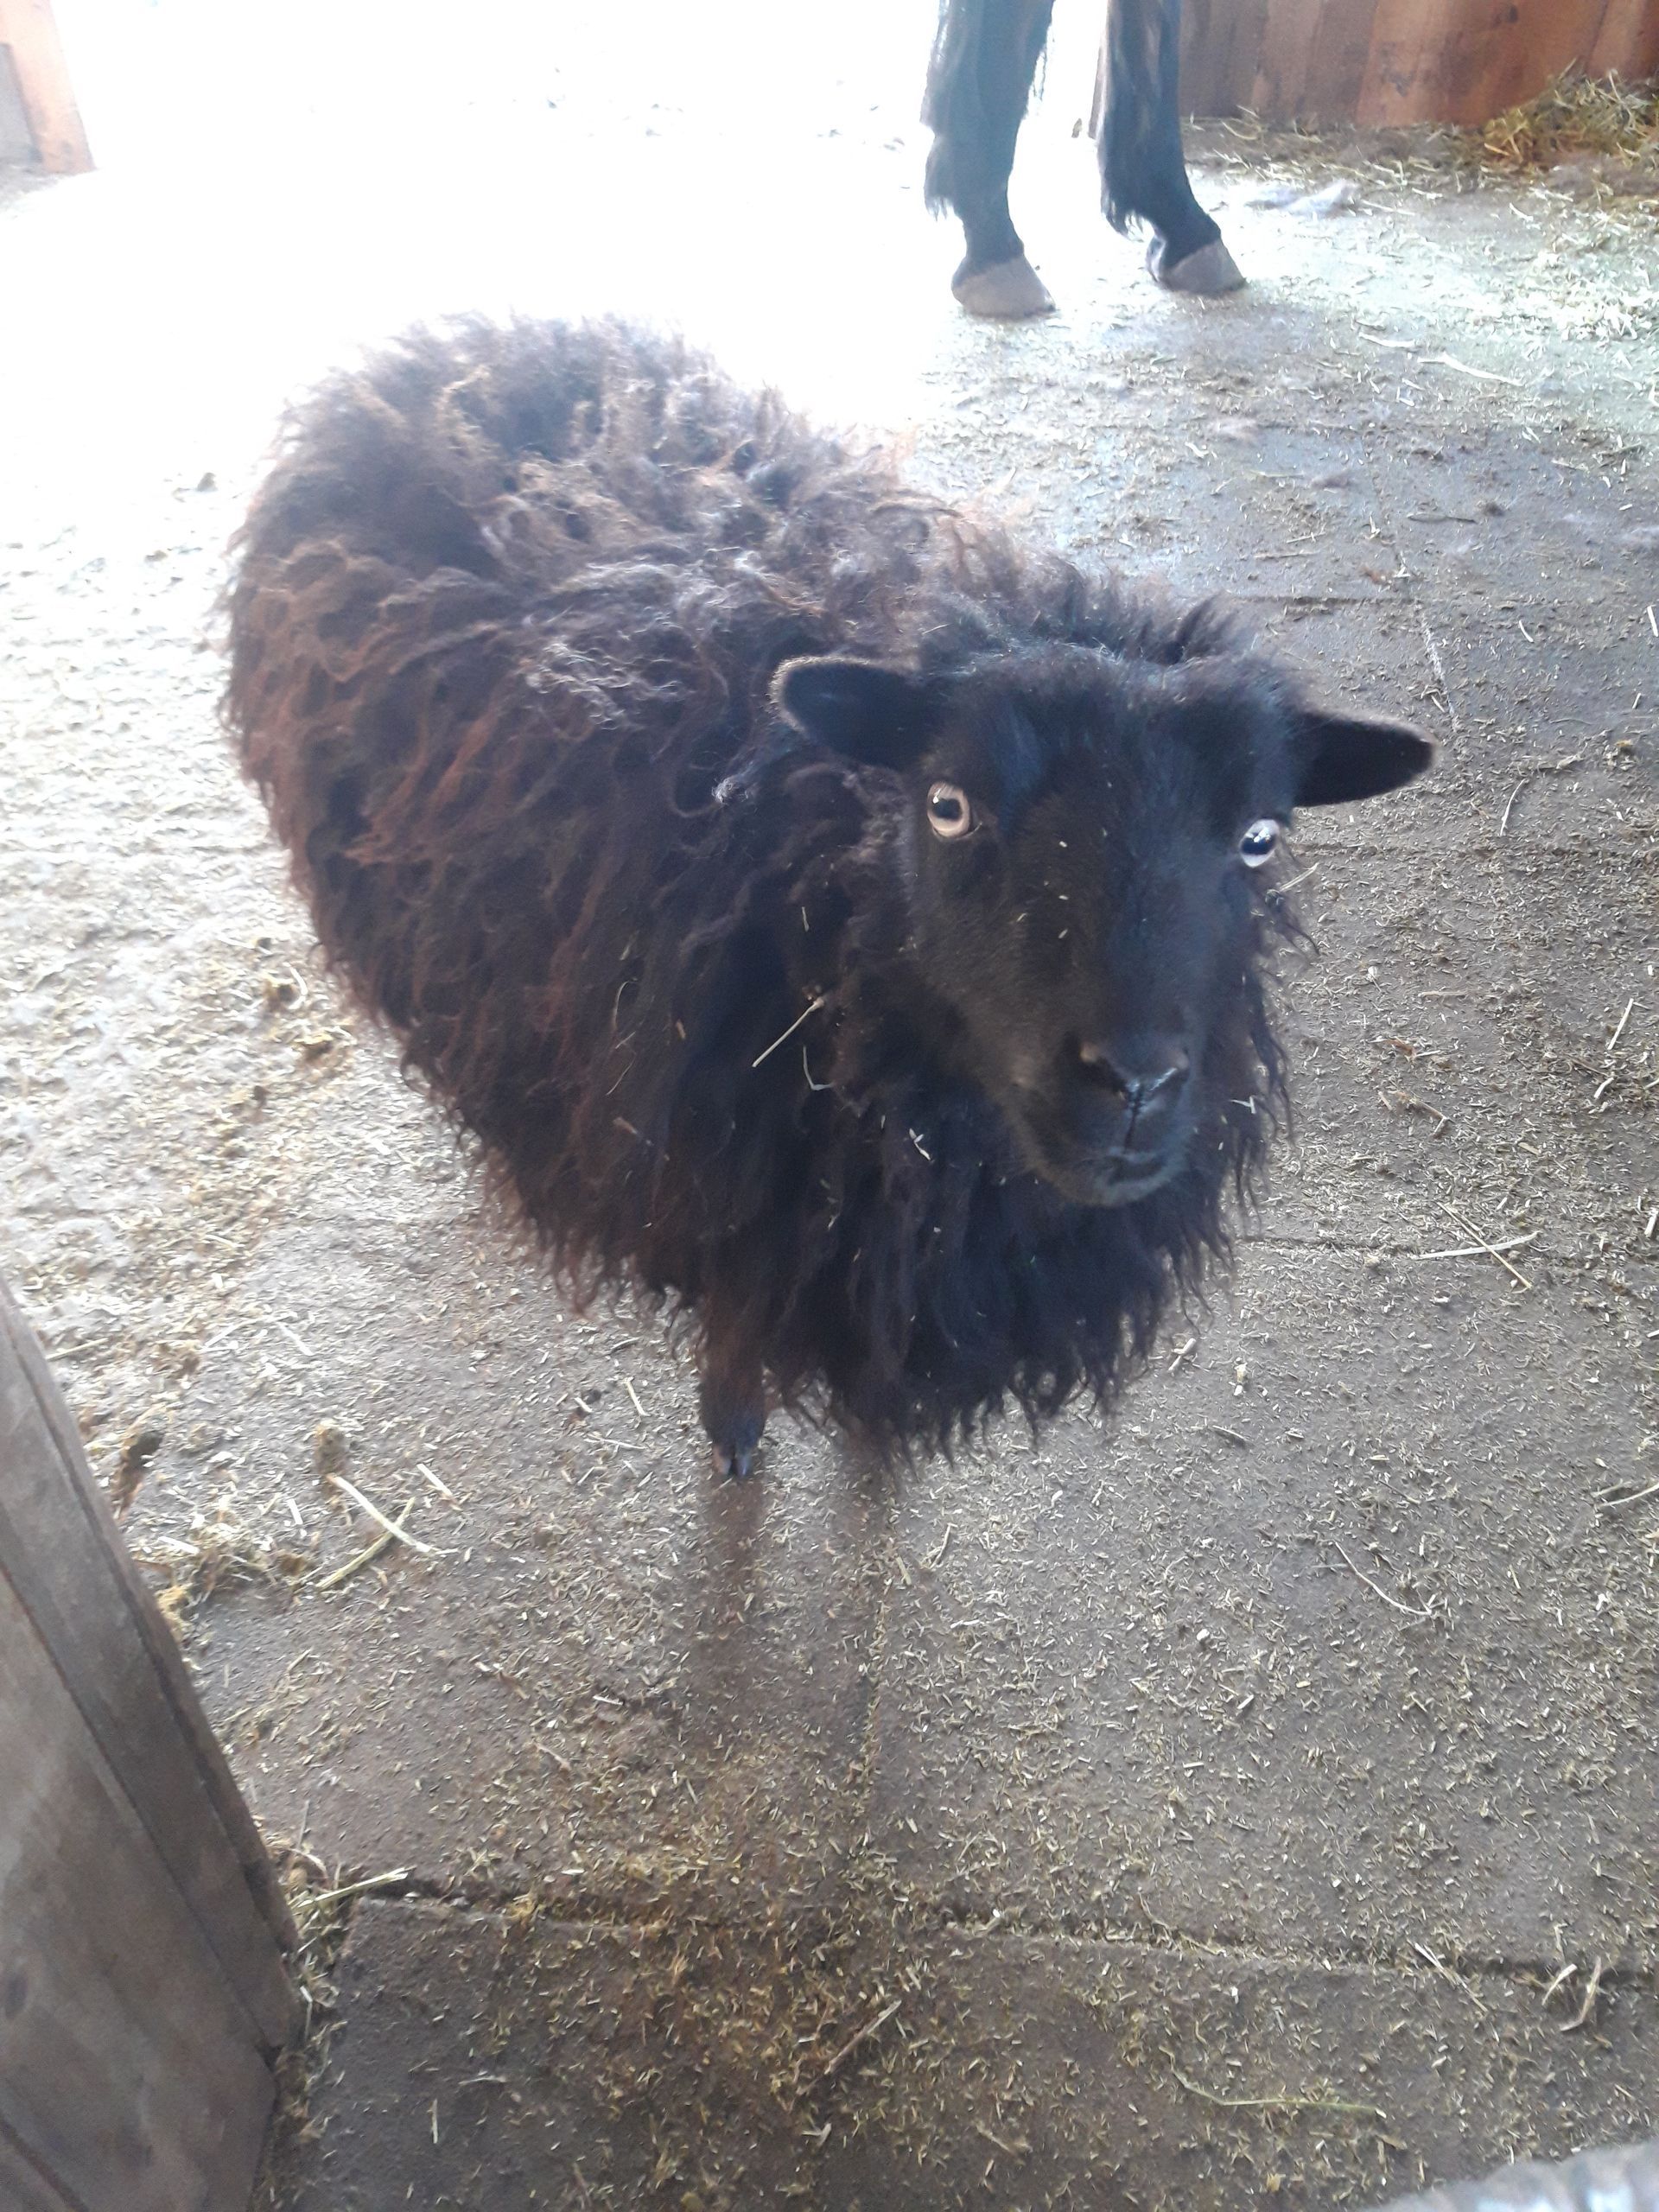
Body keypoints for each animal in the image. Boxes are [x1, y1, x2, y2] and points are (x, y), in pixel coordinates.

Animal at [226, 317, 1430, 1476]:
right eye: (948, 805)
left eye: (1259, 837)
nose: (1132, 1081)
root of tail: (449, 342)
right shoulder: (730, 1197)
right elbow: (738, 1332)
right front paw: (734, 1426)